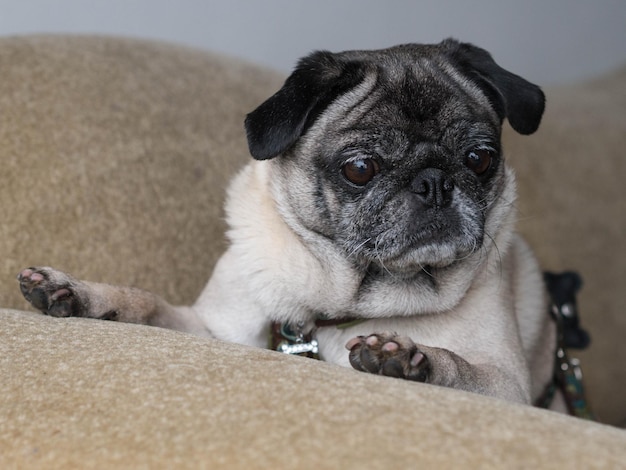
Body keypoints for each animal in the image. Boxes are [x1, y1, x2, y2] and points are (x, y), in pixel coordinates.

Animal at [15, 38, 552, 406]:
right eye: (361, 168)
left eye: (480, 159)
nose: (434, 182)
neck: (335, 308)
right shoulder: (212, 330)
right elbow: (147, 303)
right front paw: (78, 292)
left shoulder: (507, 386)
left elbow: (459, 367)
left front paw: (408, 359)